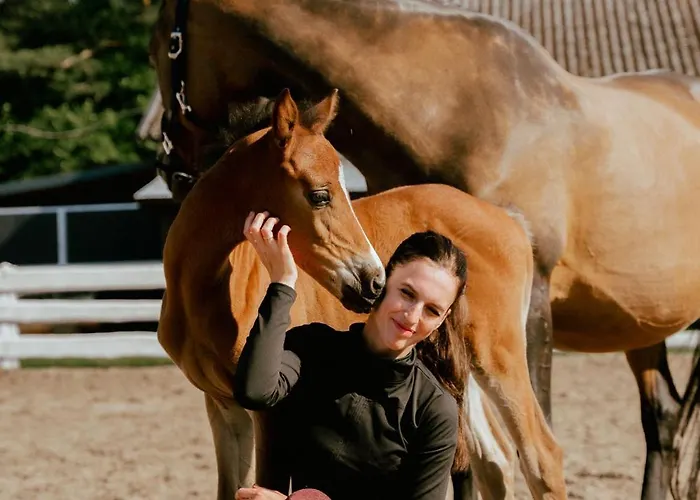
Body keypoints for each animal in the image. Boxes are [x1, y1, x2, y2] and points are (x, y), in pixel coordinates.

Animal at [158, 88, 566, 499]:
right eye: (320, 195)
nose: (374, 281)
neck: (203, 293)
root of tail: (510, 221)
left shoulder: (269, 410)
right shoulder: (224, 408)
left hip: (499, 355)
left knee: (541, 455)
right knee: (494, 458)